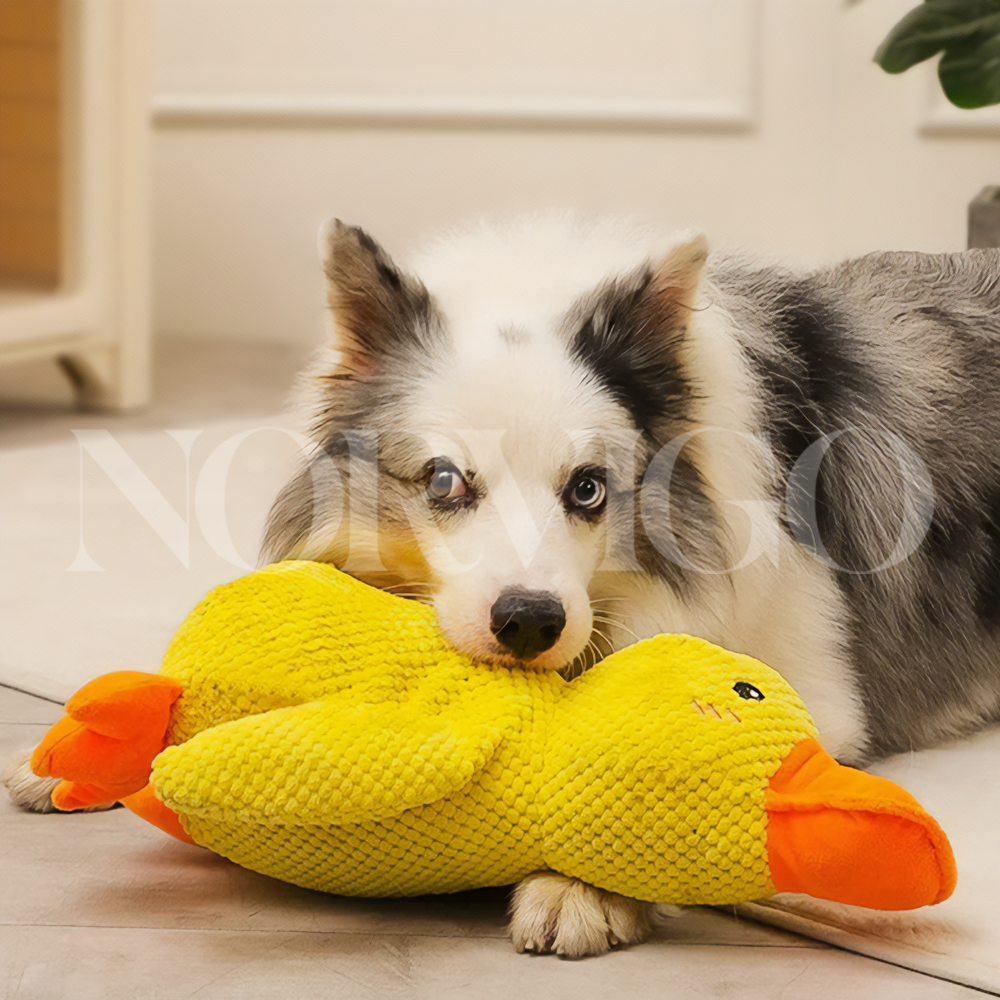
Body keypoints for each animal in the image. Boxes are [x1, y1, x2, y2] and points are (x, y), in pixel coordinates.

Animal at [9, 215, 1000, 956]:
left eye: (589, 488)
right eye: (446, 480)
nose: (529, 622)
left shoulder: (820, 694)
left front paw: (581, 890)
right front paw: (80, 746)